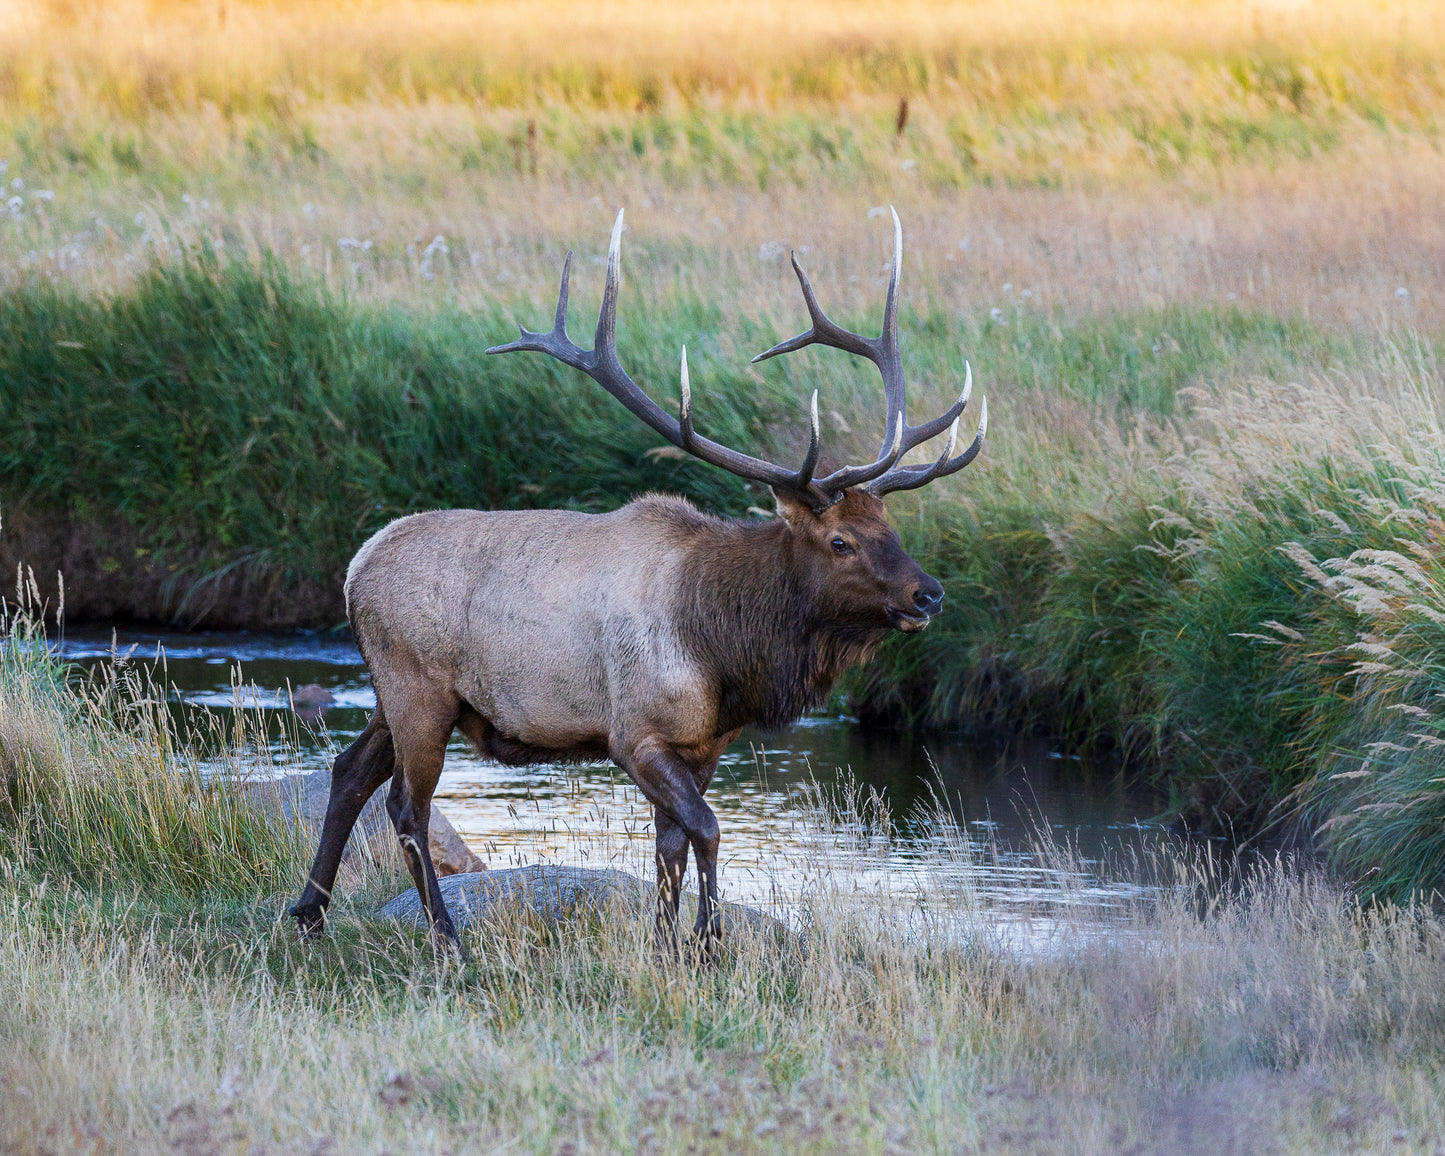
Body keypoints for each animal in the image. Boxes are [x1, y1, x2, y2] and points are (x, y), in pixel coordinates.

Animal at [289, 207, 987, 954]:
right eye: (840, 542)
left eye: (890, 527)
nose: (928, 593)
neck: (724, 650)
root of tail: (355, 567)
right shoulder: (636, 734)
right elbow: (706, 827)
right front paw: (707, 943)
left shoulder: (704, 744)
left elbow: (670, 845)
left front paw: (667, 945)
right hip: (416, 685)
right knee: (406, 804)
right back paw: (445, 935)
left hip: (395, 693)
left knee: (348, 771)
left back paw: (309, 911)